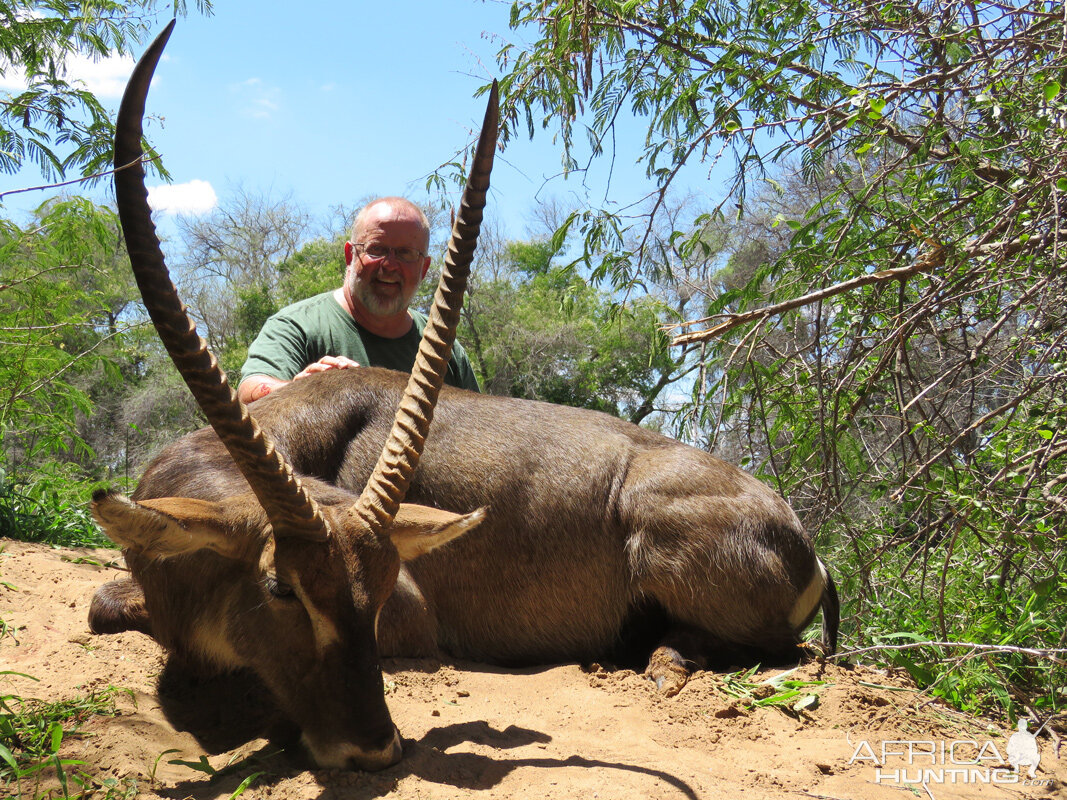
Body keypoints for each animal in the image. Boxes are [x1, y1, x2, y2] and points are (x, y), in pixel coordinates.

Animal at [89, 20, 840, 772]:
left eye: (382, 589)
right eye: (279, 587)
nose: (372, 747)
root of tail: (804, 541)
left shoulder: (413, 617)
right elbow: (102, 600)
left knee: (772, 650)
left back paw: (662, 663)